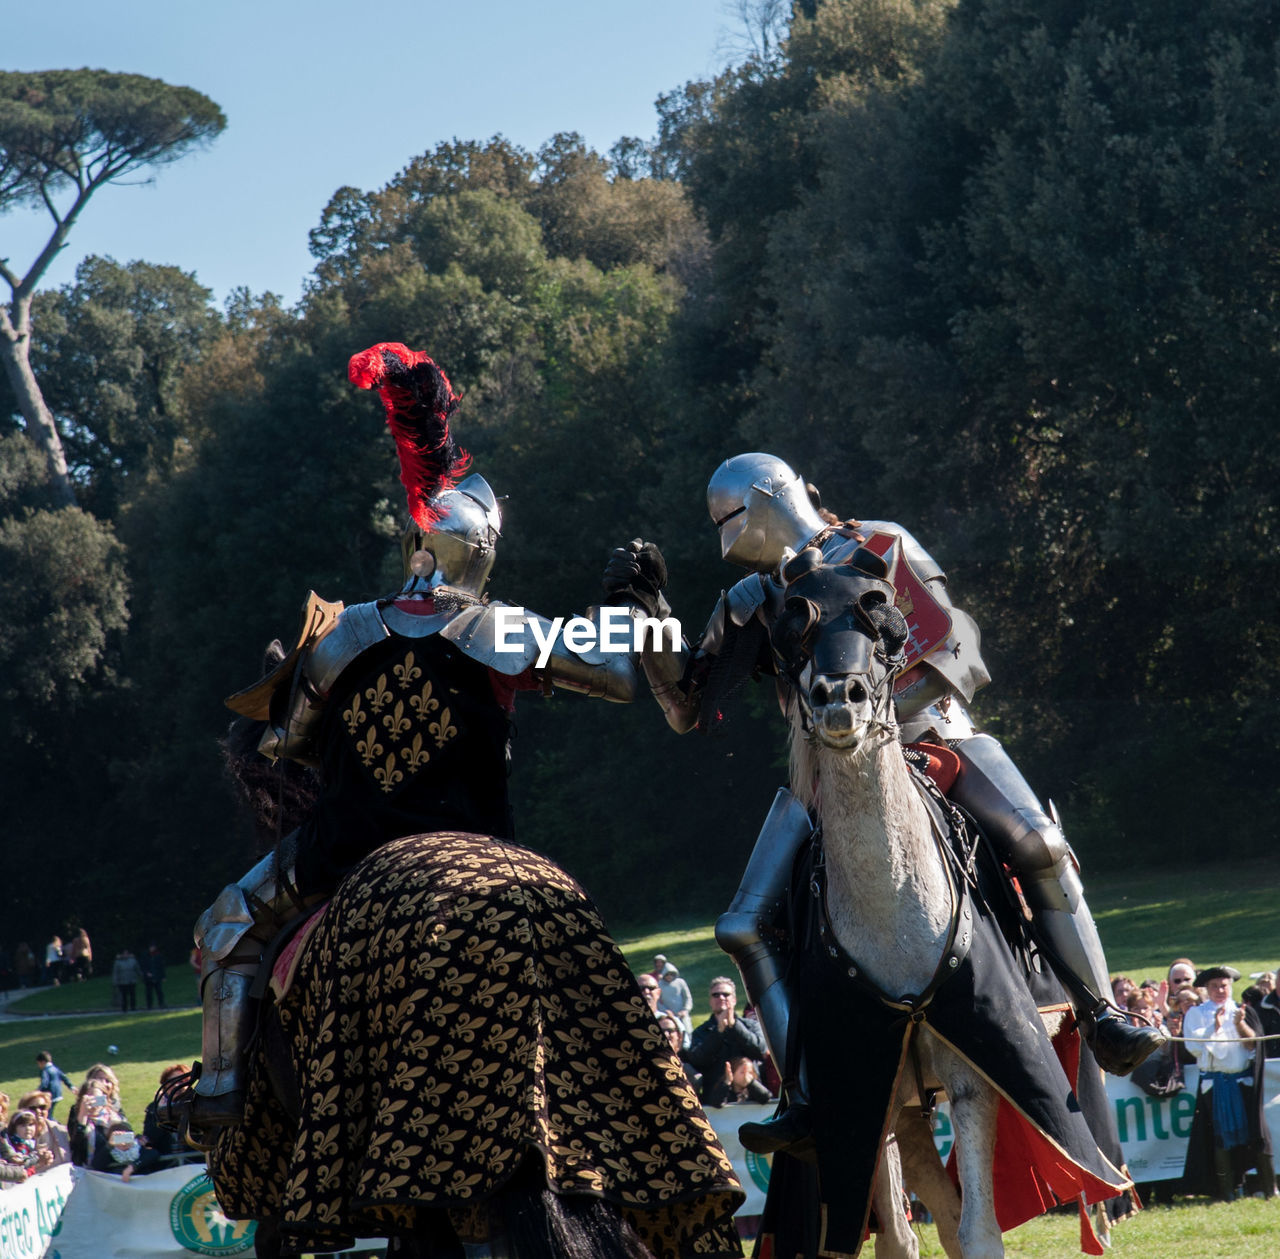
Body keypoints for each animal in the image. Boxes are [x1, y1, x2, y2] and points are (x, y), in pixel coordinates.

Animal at [757, 547, 1131, 1259]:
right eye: (796, 629)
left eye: (880, 624)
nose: (839, 701)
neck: (895, 915)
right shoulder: (863, 1096)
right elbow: (899, 1235)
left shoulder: (975, 1075)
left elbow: (978, 1231)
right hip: (901, 1111)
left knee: (1043, 849)